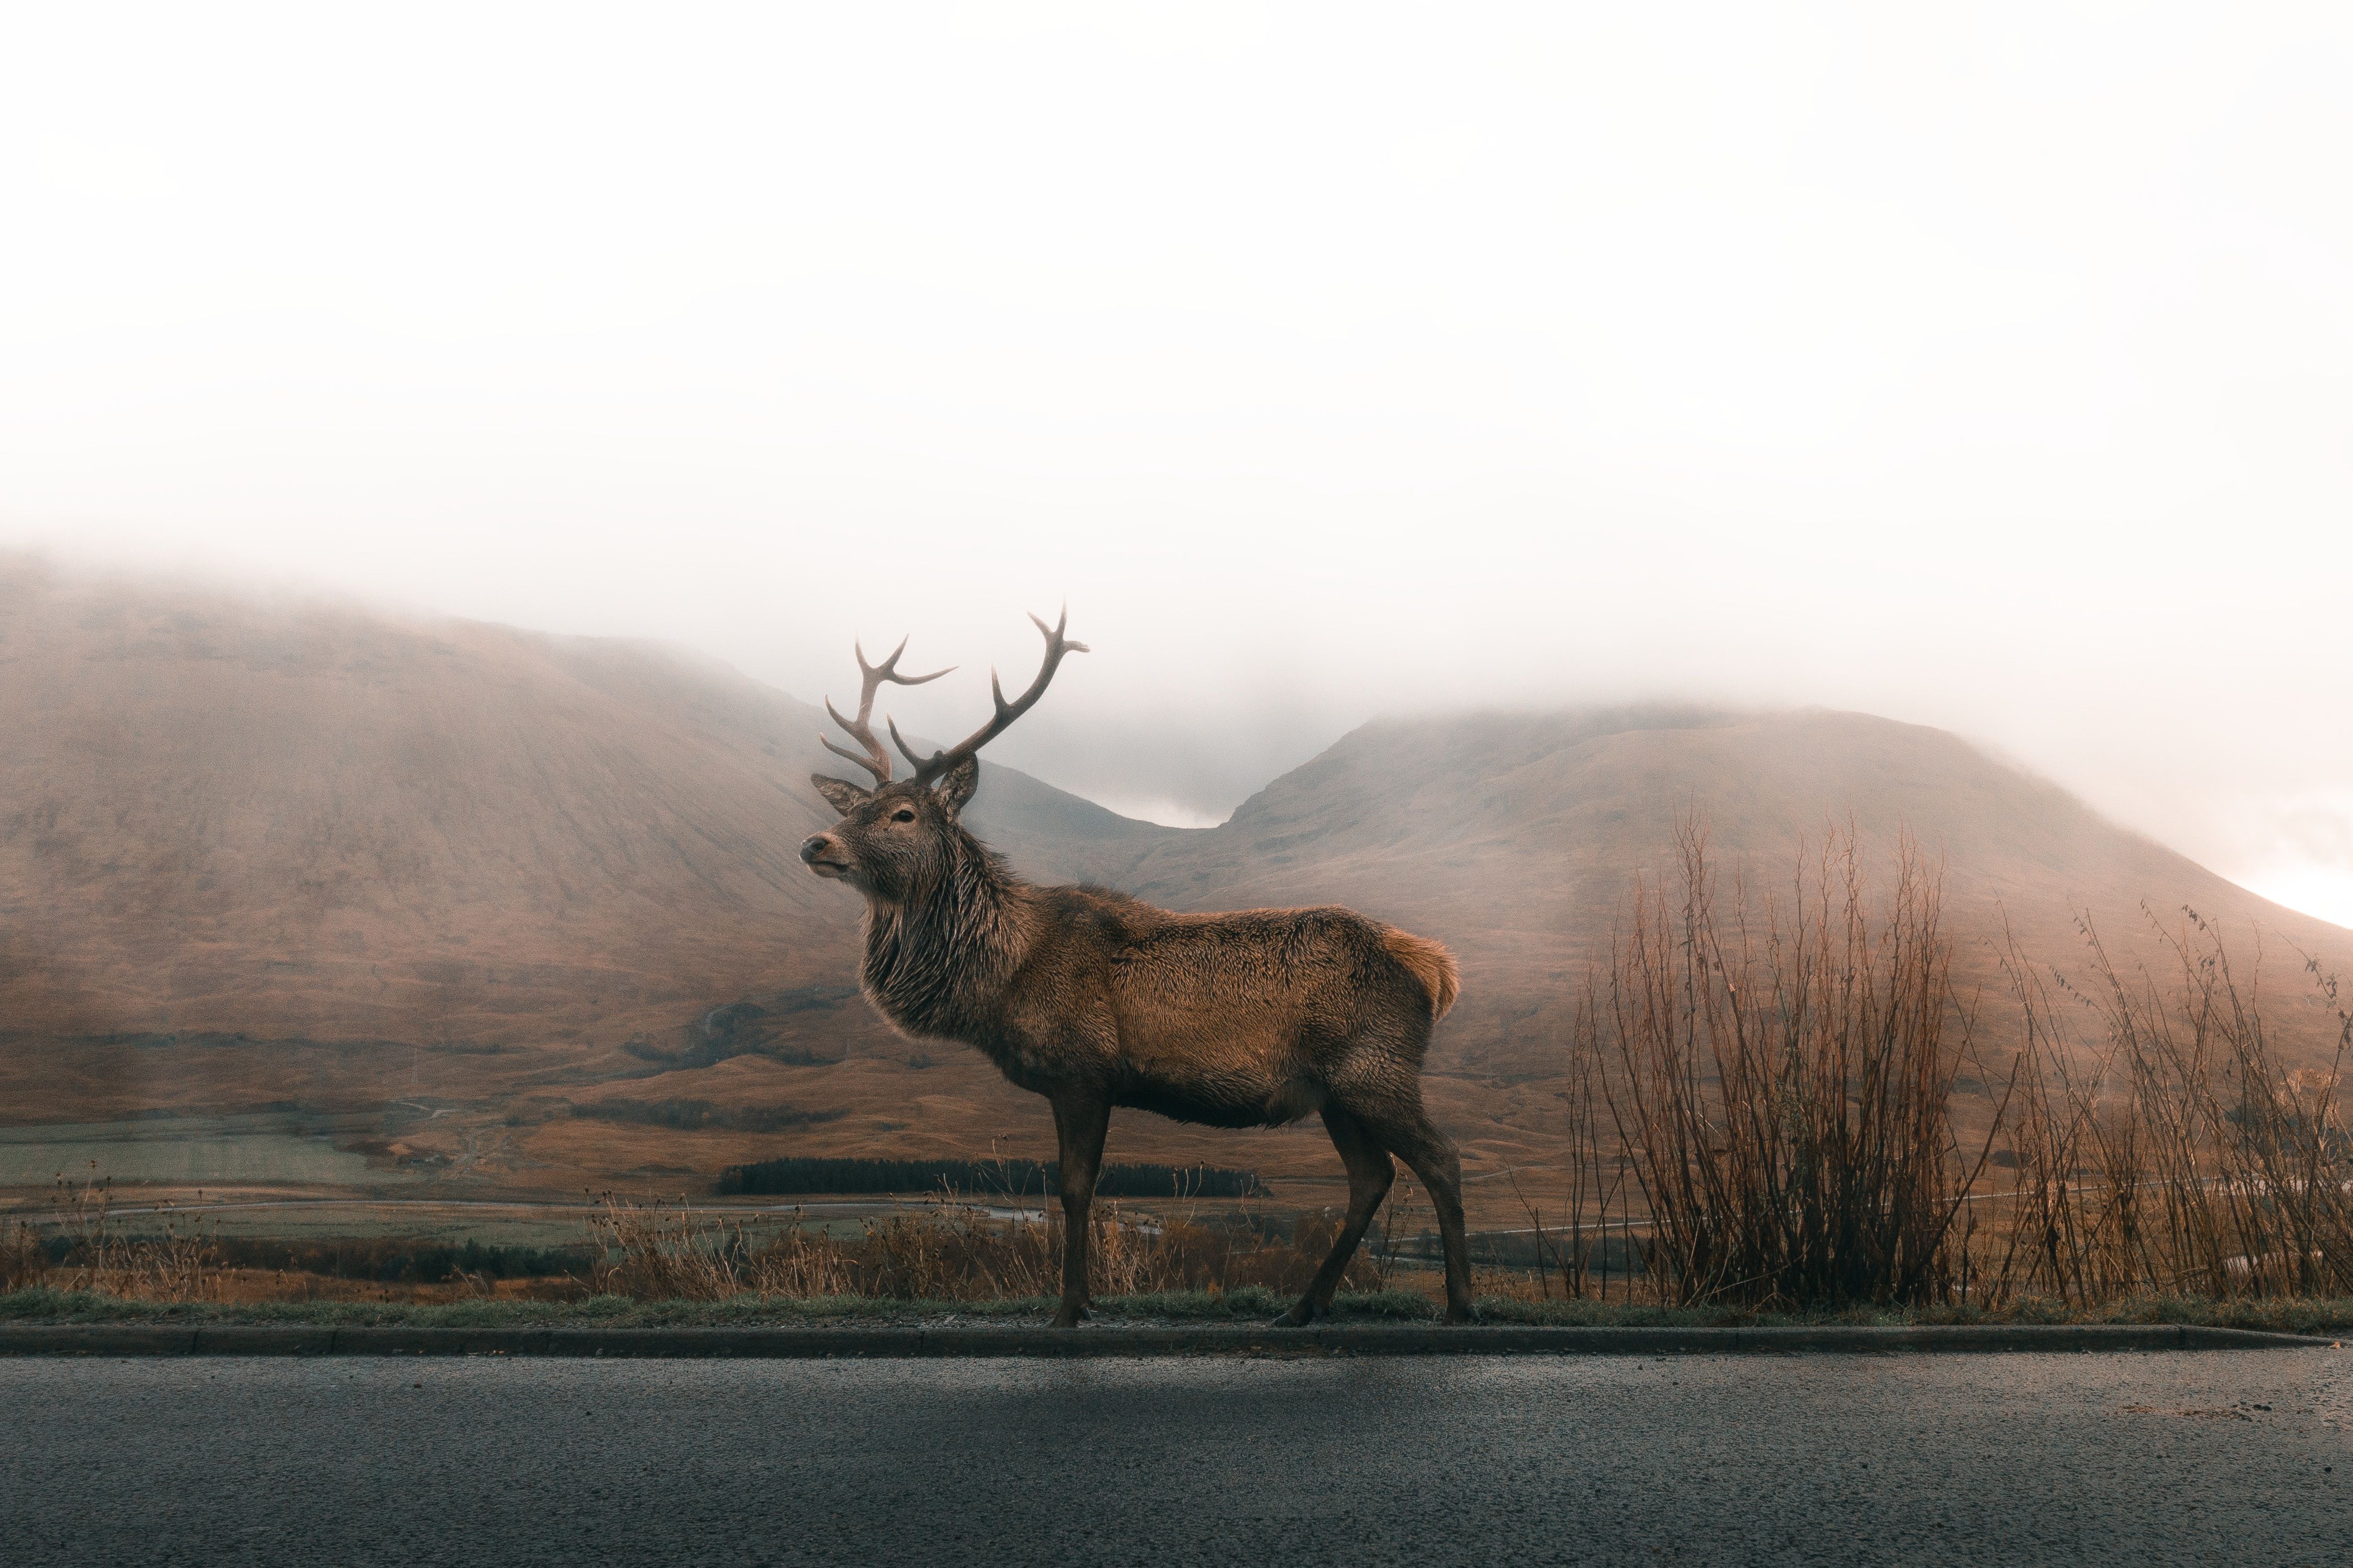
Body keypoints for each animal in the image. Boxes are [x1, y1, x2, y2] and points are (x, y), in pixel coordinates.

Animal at [809, 611, 1468, 1326]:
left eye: (903, 814)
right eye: (850, 809)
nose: (816, 843)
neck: (1000, 980)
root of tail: (1435, 969)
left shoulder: (1084, 1071)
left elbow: (1074, 1189)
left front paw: (1069, 1307)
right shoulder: (1072, 1083)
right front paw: (1082, 1298)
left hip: (1375, 1069)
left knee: (1440, 1158)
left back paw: (1459, 1303)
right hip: (1334, 1092)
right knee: (1372, 1176)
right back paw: (1301, 1307)